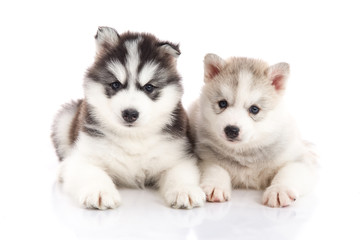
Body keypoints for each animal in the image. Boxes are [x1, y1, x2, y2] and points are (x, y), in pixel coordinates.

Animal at [52, 26, 207, 210]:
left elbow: (180, 173)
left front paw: (184, 190)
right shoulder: (85, 156)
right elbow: (91, 173)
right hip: (64, 119)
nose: (130, 114)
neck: (133, 137)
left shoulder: (179, 155)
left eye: (149, 87)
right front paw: (100, 192)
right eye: (115, 84)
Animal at [190, 53, 316, 207]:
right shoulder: (205, 157)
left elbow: (288, 172)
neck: (246, 153)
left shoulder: (300, 161)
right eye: (222, 103)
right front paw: (215, 185)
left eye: (254, 109)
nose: (231, 130)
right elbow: (215, 169)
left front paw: (279, 190)